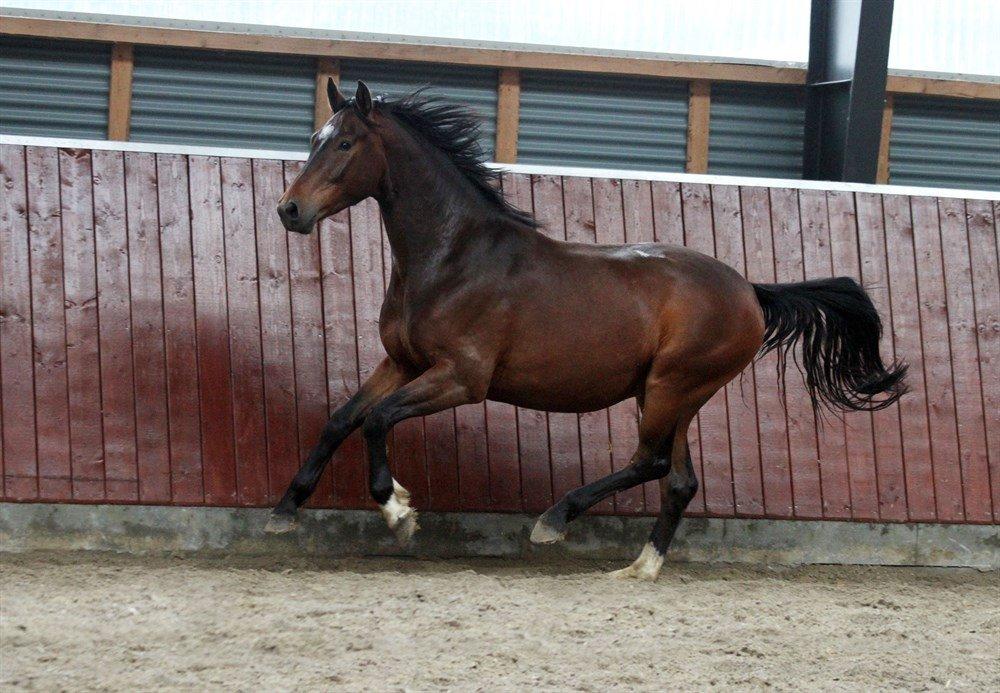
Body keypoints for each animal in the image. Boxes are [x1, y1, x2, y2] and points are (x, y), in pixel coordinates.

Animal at [266, 79, 908, 580]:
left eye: (344, 142)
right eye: (314, 139)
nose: (289, 211)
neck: (453, 257)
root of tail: (750, 290)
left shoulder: (461, 378)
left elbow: (376, 419)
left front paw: (397, 510)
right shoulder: (401, 362)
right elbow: (342, 418)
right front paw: (284, 510)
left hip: (673, 386)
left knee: (650, 464)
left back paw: (554, 521)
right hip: (675, 394)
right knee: (679, 480)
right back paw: (639, 567)